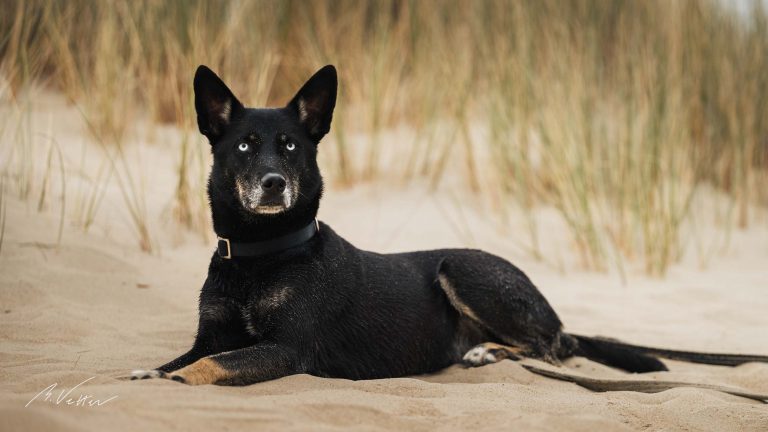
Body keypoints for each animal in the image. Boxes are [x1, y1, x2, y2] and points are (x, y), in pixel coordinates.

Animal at [132, 64, 768, 392]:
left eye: (290, 147)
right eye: (244, 146)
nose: (272, 184)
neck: (260, 254)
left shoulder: (287, 348)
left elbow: (212, 367)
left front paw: (173, 385)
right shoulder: (210, 335)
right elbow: (186, 357)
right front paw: (150, 371)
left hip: (462, 267)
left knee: (551, 347)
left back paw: (489, 351)